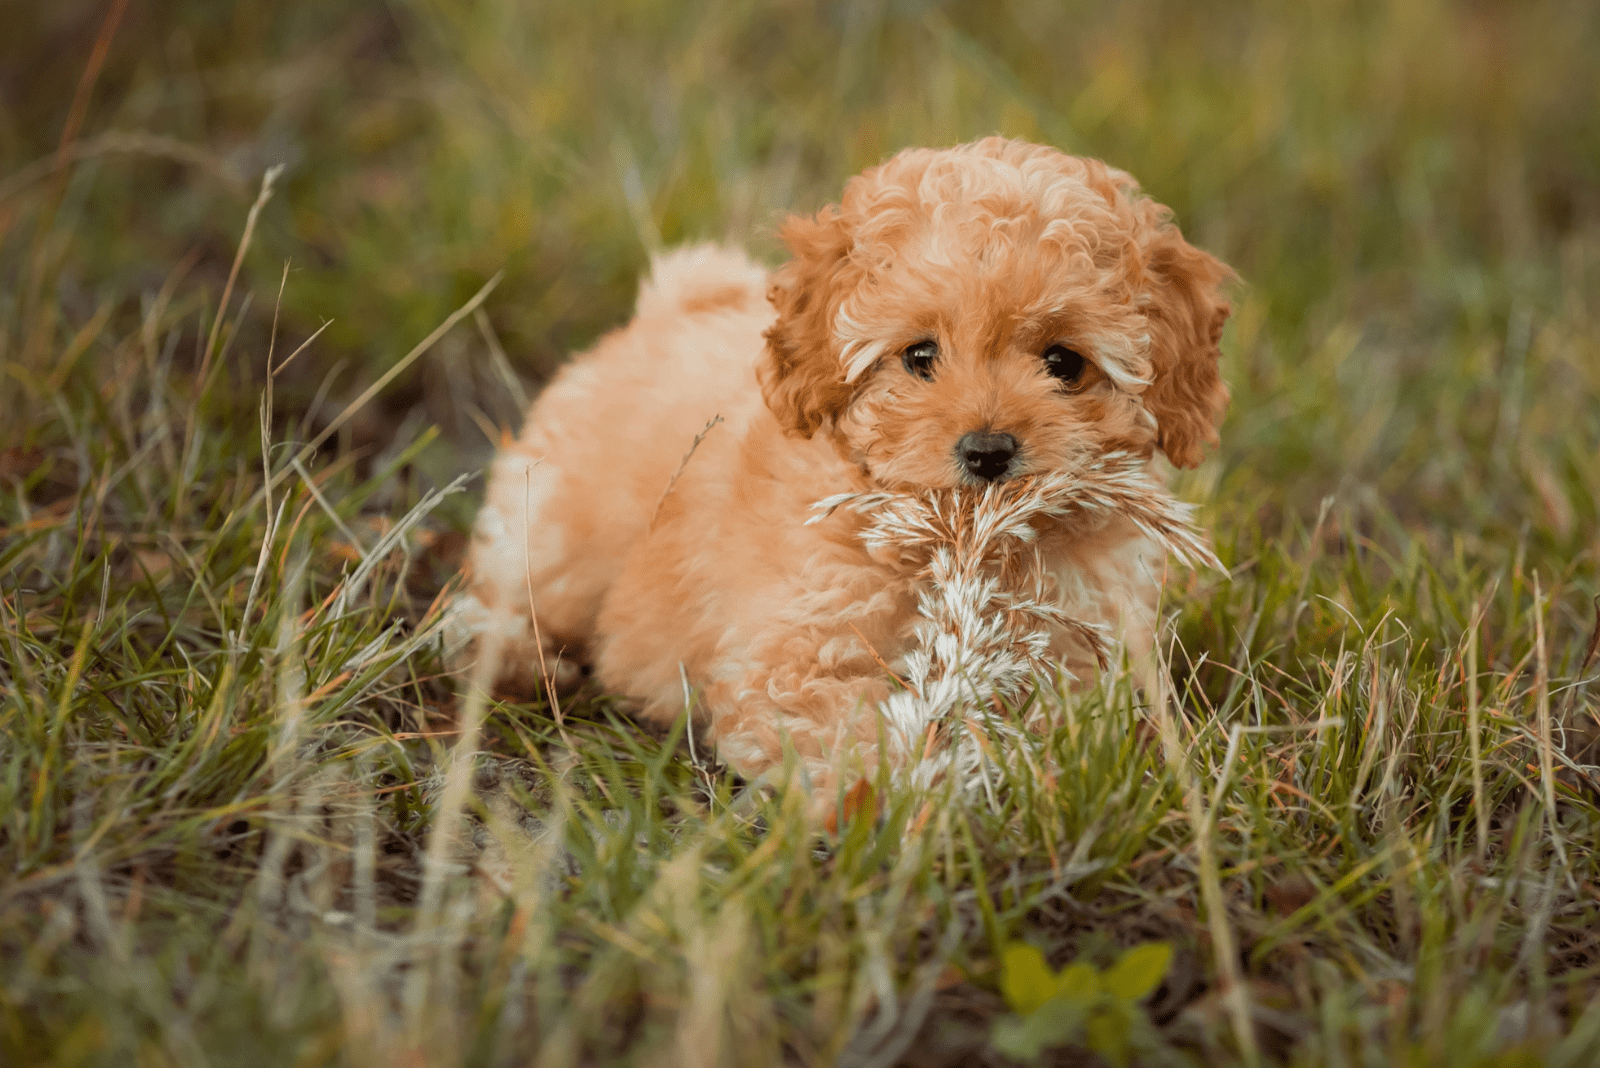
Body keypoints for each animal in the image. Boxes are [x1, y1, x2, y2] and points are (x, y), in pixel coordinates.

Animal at [457, 135, 1228, 799]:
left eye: (1064, 363)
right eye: (920, 356)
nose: (987, 451)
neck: (962, 547)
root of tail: (672, 307)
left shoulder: (1079, 651)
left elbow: (1059, 727)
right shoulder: (794, 659)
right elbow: (851, 738)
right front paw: (907, 798)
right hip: (554, 526)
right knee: (502, 595)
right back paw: (519, 663)